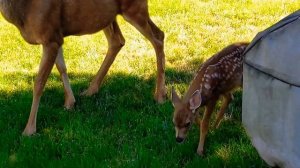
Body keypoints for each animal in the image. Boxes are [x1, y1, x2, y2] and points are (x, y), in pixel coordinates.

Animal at [0, 0, 166, 136]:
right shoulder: (56, 35)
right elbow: (62, 67)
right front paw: (70, 102)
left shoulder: (49, 36)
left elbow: (39, 83)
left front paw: (29, 129)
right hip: (108, 15)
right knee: (119, 40)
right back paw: (90, 90)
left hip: (134, 8)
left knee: (157, 38)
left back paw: (159, 96)